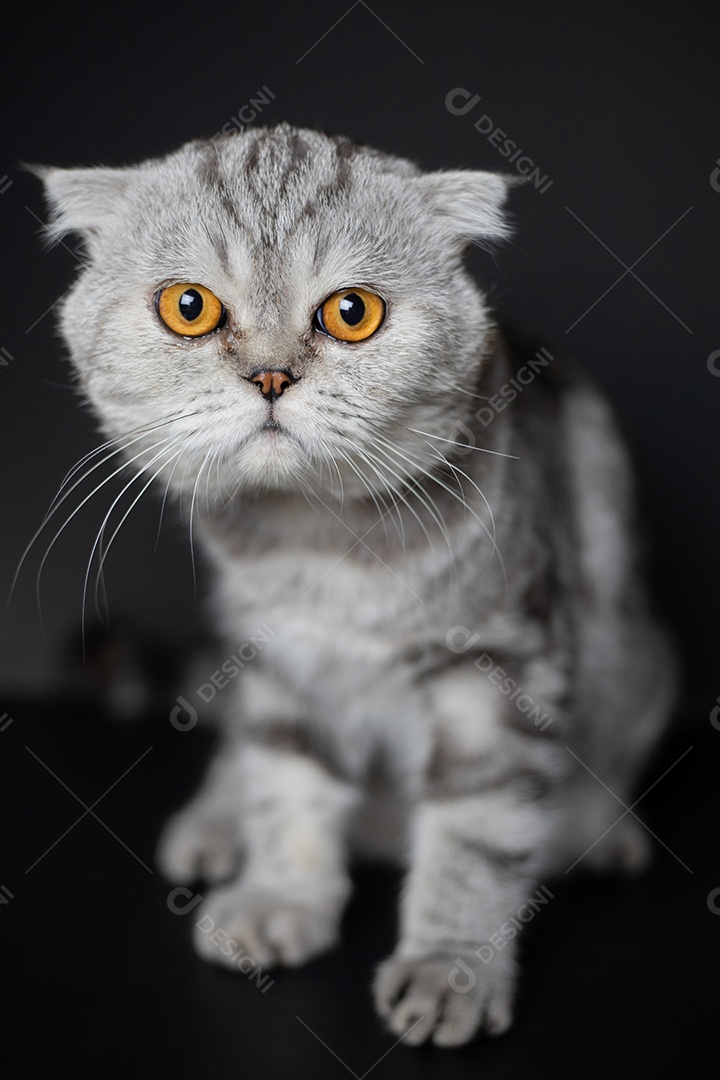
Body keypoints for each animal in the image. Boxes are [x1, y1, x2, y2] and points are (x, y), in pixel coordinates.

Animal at [32, 124, 677, 1045]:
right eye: (189, 307)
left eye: (351, 313)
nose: (270, 375)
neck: (318, 552)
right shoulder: (276, 660)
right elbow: (286, 785)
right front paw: (281, 897)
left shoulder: (497, 669)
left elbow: (476, 836)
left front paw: (449, 967)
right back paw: (214, 821)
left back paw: (603, 831)